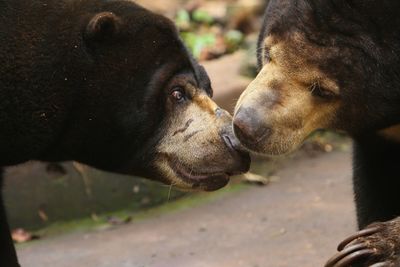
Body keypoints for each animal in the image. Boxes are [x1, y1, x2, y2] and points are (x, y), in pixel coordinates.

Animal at [233, 1, 400, 266]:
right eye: (268, 53)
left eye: (323, 90)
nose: (246, 126)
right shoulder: (380, 138)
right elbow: (374, 183)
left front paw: (373, 246)